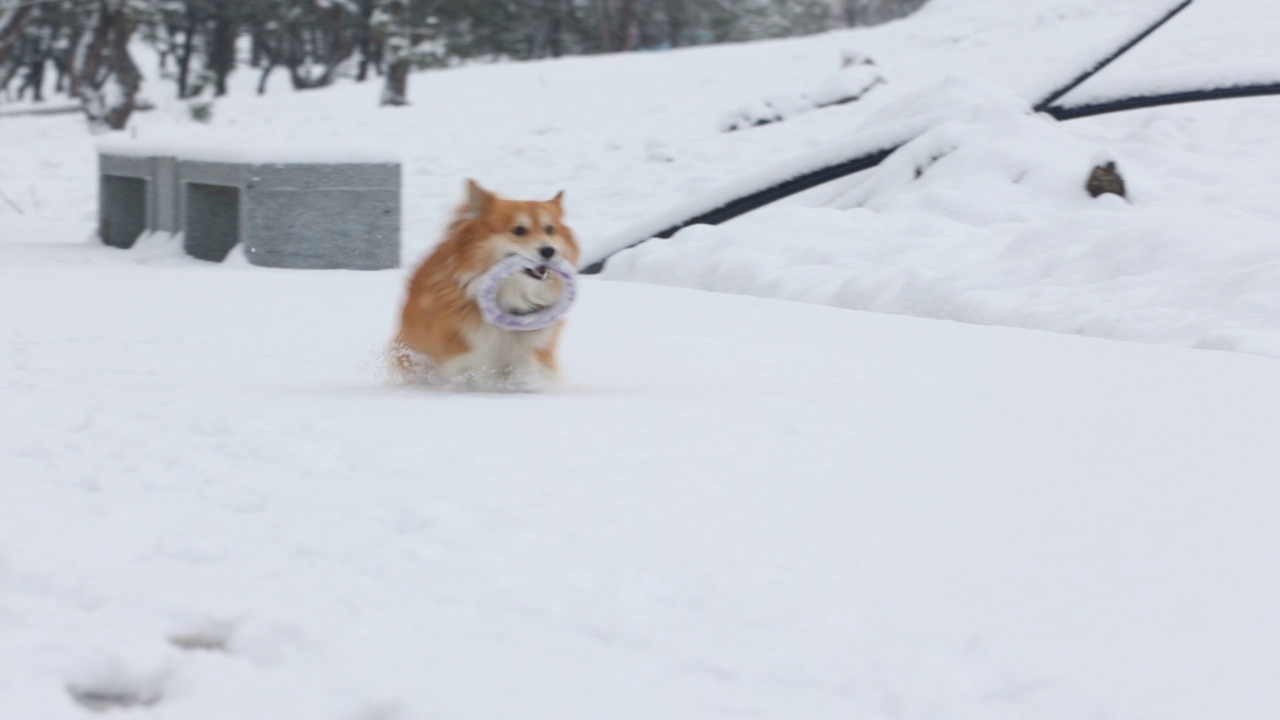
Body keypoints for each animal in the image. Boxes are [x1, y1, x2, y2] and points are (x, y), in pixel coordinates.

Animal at [386, 179, 583, 389]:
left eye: (550, 230)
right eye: (519, 230)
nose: (549, 251)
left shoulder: (532, 351)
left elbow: (528, 371)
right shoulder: (469, 356)